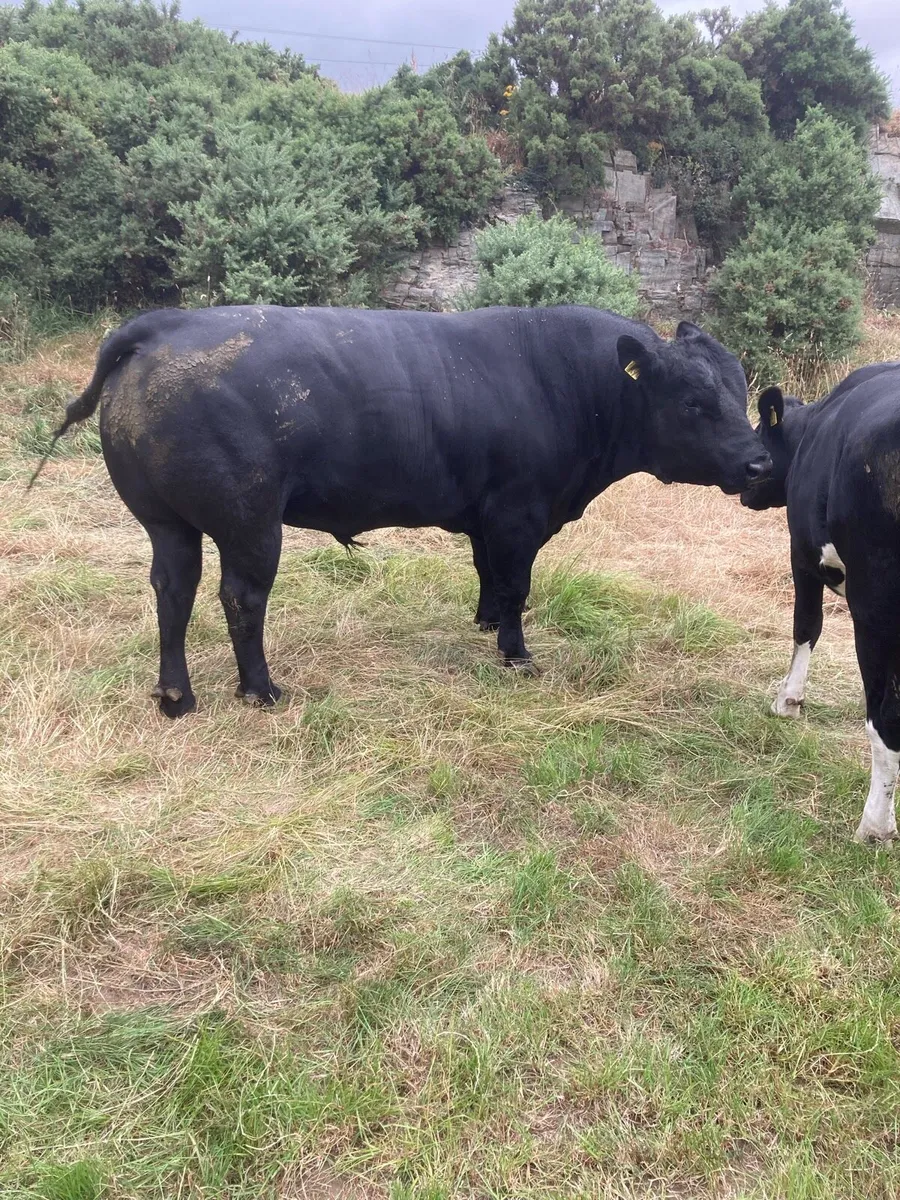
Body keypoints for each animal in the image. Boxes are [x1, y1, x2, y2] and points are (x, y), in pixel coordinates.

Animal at [32, 304, 770, 717]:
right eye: (695, 403)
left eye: (740, 390)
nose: (759, 463)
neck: (573, 385)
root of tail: (163, 324)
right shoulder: (518, 512)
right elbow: (517, 583)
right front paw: (516, 654)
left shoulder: (486, 515)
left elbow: (489, 575)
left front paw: (485, 623)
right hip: (250, 521)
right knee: (240, 597)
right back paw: (261, 691)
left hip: (167, 521)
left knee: (172, 592)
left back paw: (176, 698)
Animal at [741, 362, 900, 844]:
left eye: (759, 431)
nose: (742, 487)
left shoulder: (802, 553)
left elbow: (806, 626)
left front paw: (787, 700)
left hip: (876, 613)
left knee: (886, 720)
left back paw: (874, 826)